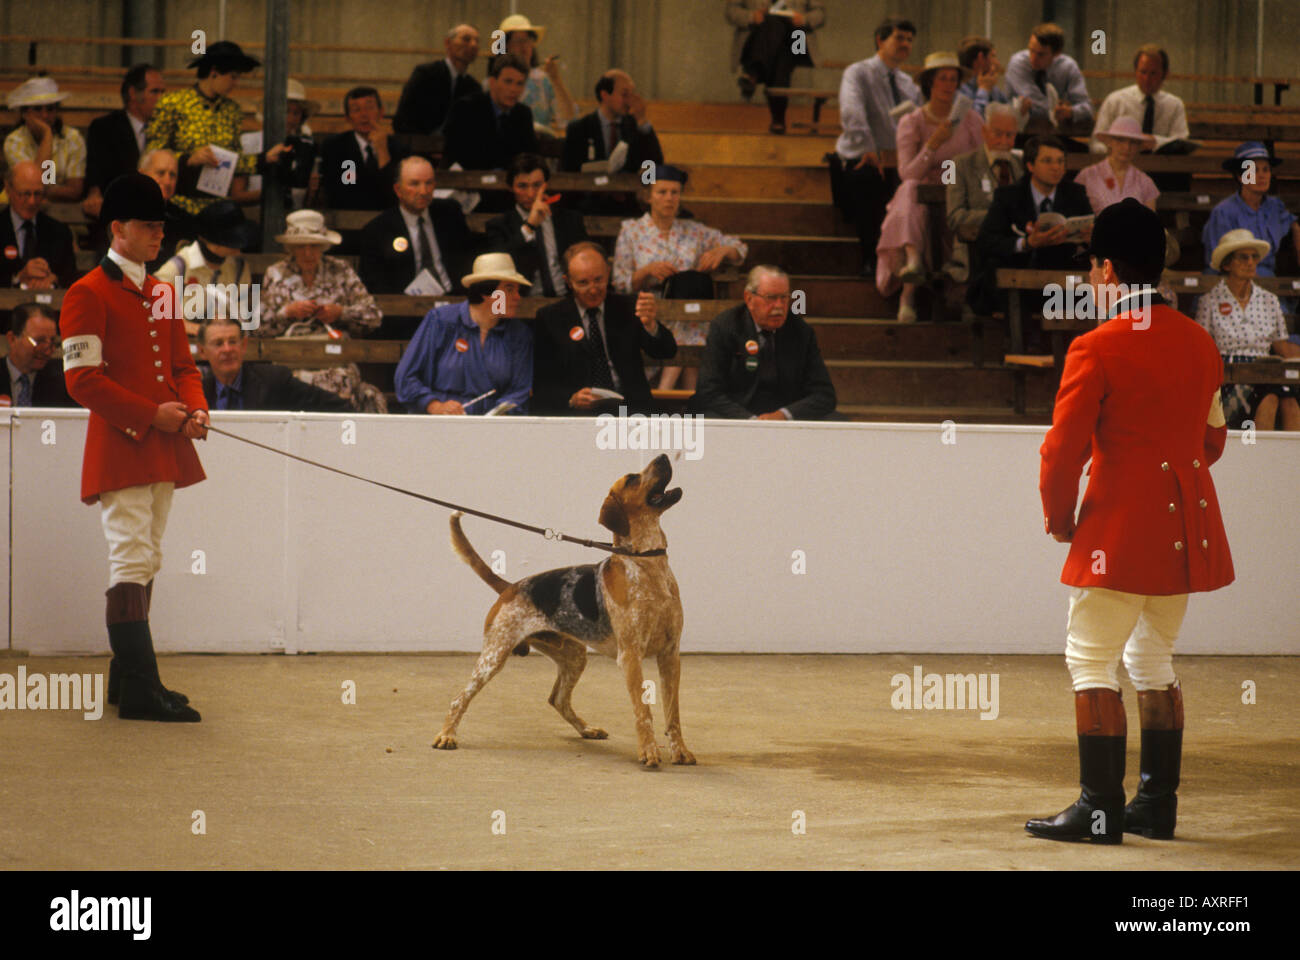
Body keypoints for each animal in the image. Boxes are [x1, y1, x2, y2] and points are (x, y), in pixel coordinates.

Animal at [434, 452, 696, 764]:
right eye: (633, 478)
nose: (664, 456)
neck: (646, 563)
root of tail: (510, 586)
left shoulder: (670, 655)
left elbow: (673, 713)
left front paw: (680, 751)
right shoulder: (631, 656)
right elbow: (643, 712)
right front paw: (648, 751)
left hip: (574, 655)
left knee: (557, 698)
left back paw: (587, 729)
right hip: (493, 658)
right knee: (459, 699)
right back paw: (447, 735)